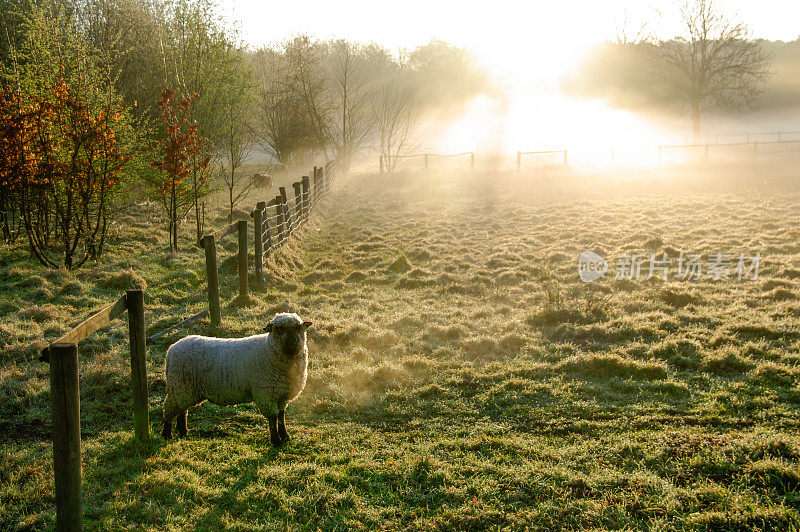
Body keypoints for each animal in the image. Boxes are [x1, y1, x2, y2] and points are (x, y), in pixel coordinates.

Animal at [161, 312, 310, 444]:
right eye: (279, 329)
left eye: (299, 328)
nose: (292, 342)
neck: (268, 349)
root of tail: (172, 349)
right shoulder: (265, 394)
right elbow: (273, 418)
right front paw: (276, 441)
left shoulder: (282, 395)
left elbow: (281, 417)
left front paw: (285, 437)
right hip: (178, 385)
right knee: (169, 409)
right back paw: (167, 434)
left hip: (185, 389)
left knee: (182, 410)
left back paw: (183, 432)